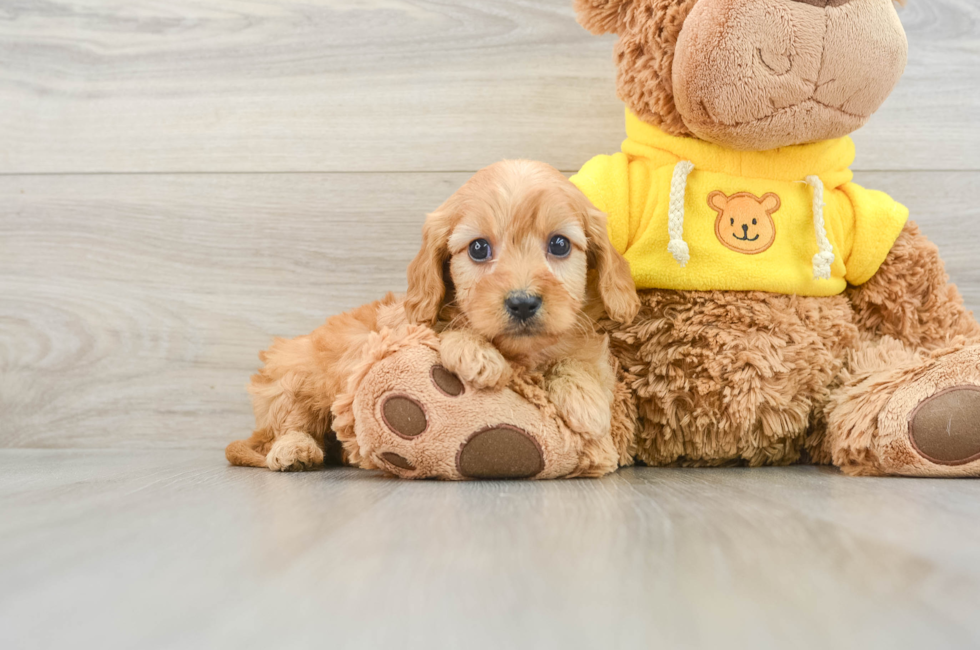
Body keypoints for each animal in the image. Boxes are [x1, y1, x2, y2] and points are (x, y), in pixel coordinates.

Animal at [228, 159, 644, 468]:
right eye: (478, 249)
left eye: (559, 245)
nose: (523, 302)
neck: (520, 353)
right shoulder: (402, 323)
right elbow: (445, 330)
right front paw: (477, 354)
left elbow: (582, 354)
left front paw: (586, 399)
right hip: (295, 377)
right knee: (290, 424)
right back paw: (294, 450)